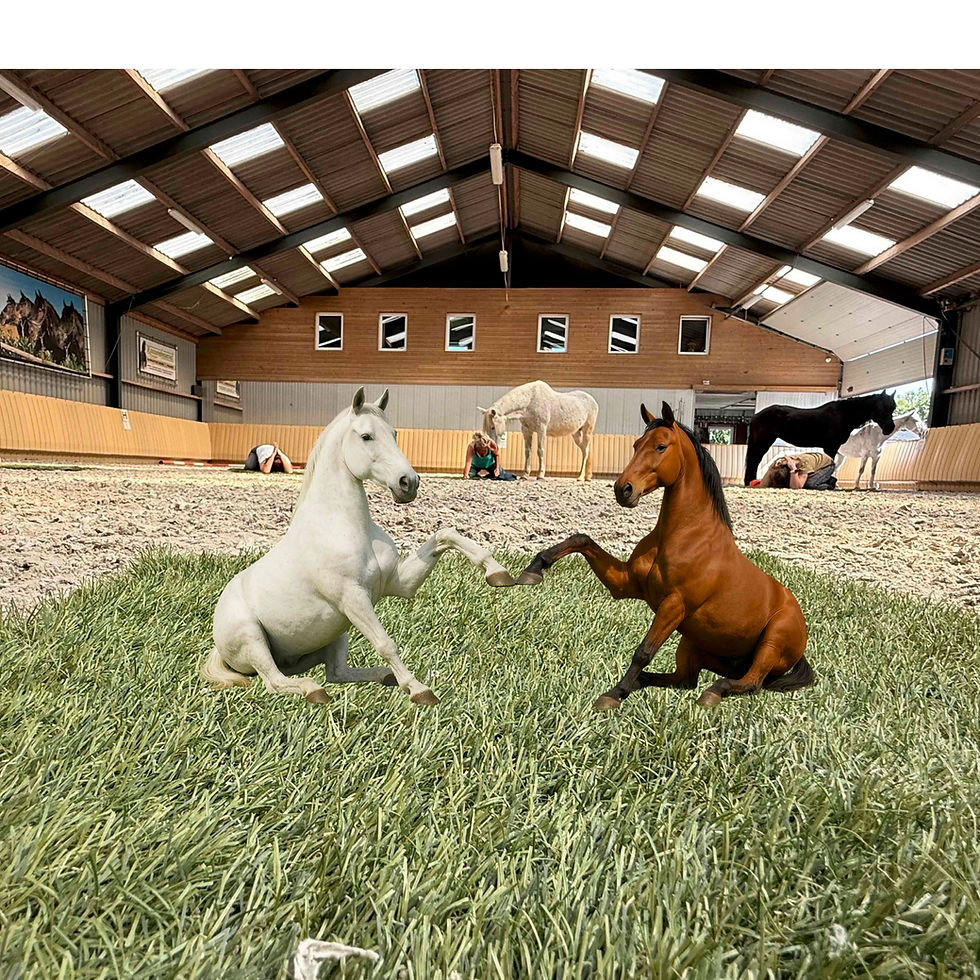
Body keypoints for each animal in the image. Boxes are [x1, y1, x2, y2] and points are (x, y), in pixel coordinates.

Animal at [203, 387, 518, 706]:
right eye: (366, 436)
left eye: (394, 433)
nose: (409, 483)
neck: (346, 527)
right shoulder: (353, 598)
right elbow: (385, 643)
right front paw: (419, 690)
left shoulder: (398, 584)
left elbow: (446, 535)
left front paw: (498, 574)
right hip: (255, 640)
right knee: (275, 681)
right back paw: (313, 689)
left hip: (335, 633)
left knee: (336, 673)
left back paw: (384, 677)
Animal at [518, 401, 813, 710]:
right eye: (636, 445)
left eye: (660, 446)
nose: (623, 489)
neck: (684, 536)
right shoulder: (626, 585)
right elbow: (581, 540)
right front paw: (533, 569)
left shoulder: (674, 605)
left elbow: (644, 650)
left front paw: (611, 695)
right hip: (693, 644)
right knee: (685, 680)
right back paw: (640, 684)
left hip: (769, 645)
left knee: (750, 683)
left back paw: (711, 692)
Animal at [743, 391, 897, 485]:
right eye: (881, 407)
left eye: (893, 408)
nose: (890, 428)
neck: (843, 415)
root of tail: (756, 415)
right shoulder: (831, 447)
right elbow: (831, 463)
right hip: (762, 442)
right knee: (754, 460)